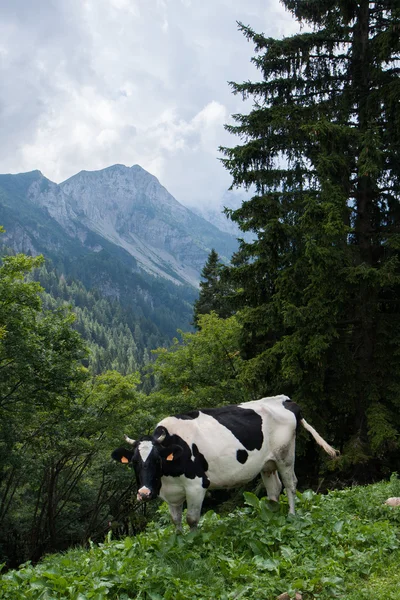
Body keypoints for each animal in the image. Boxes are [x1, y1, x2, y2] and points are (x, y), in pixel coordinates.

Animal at [110, 398, 338, 528]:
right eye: (134, 462)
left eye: (157, 459)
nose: (144, 493)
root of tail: (285, 400)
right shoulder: (171, 493)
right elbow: (176, 521)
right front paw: (179, 542)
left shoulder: (197, 485)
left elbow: (192, 519)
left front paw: (194, 542)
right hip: (268, 463)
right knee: (274, 489)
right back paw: (271, 516)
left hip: (285, 456)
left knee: (291, 485)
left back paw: (291, 516)